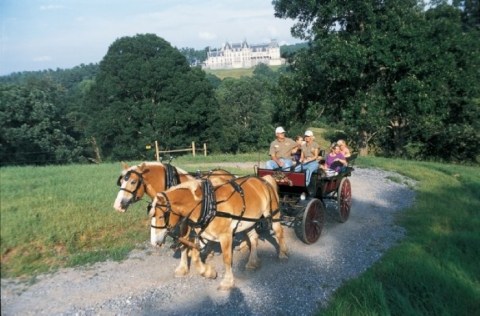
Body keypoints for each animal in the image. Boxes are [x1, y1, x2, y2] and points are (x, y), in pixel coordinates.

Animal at [148, 175, 286, 292]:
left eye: (161, 216)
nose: (154, 242)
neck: (208, 205)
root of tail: (263, 179)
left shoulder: (225, 235)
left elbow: (226, 258)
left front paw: (227, 282)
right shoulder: (204, 233)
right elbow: (194, 255)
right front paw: (208, 272)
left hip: (272, 213)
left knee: (279, 231)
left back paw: (283, 254)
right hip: (249, 221)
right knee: (253, 238)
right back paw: (252, 262)